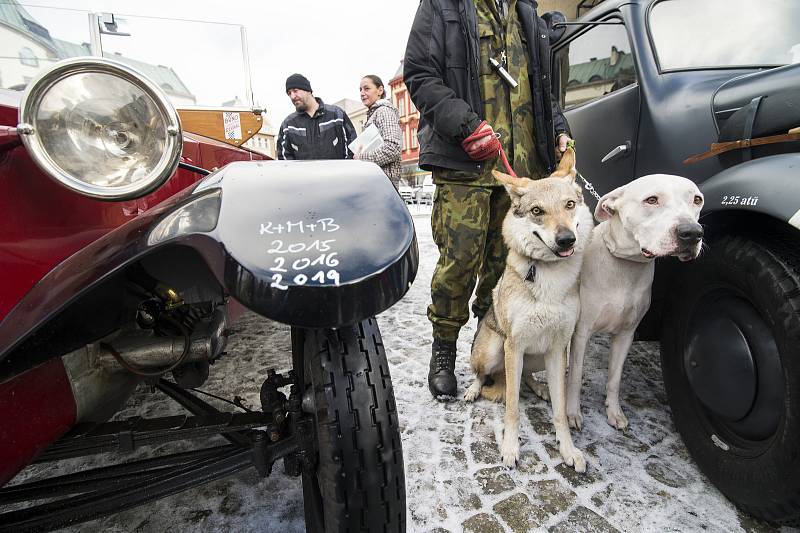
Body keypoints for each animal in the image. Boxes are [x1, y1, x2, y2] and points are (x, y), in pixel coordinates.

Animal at [462, 149, 592, 470]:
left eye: (569, 205)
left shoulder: (558, 349)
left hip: (537, 357)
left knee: (523, 379)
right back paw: (473, 390)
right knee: (485, 376)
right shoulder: (514, 345)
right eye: (537, 211)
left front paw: (568, 450)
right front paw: (510, 448)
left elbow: (559, 411)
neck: (549, 275)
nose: (566, 239)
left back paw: (539, 388)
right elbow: (512, 408)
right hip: (493, 349)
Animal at [564, 172, 704, 430]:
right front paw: (572, 413)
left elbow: (615, 378)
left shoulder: (626, 334)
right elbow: (576, 377)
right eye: (652, 200)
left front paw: (614, 411)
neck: (625, 266)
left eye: (697, 200)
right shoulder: (582, 331)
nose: (691, 233)